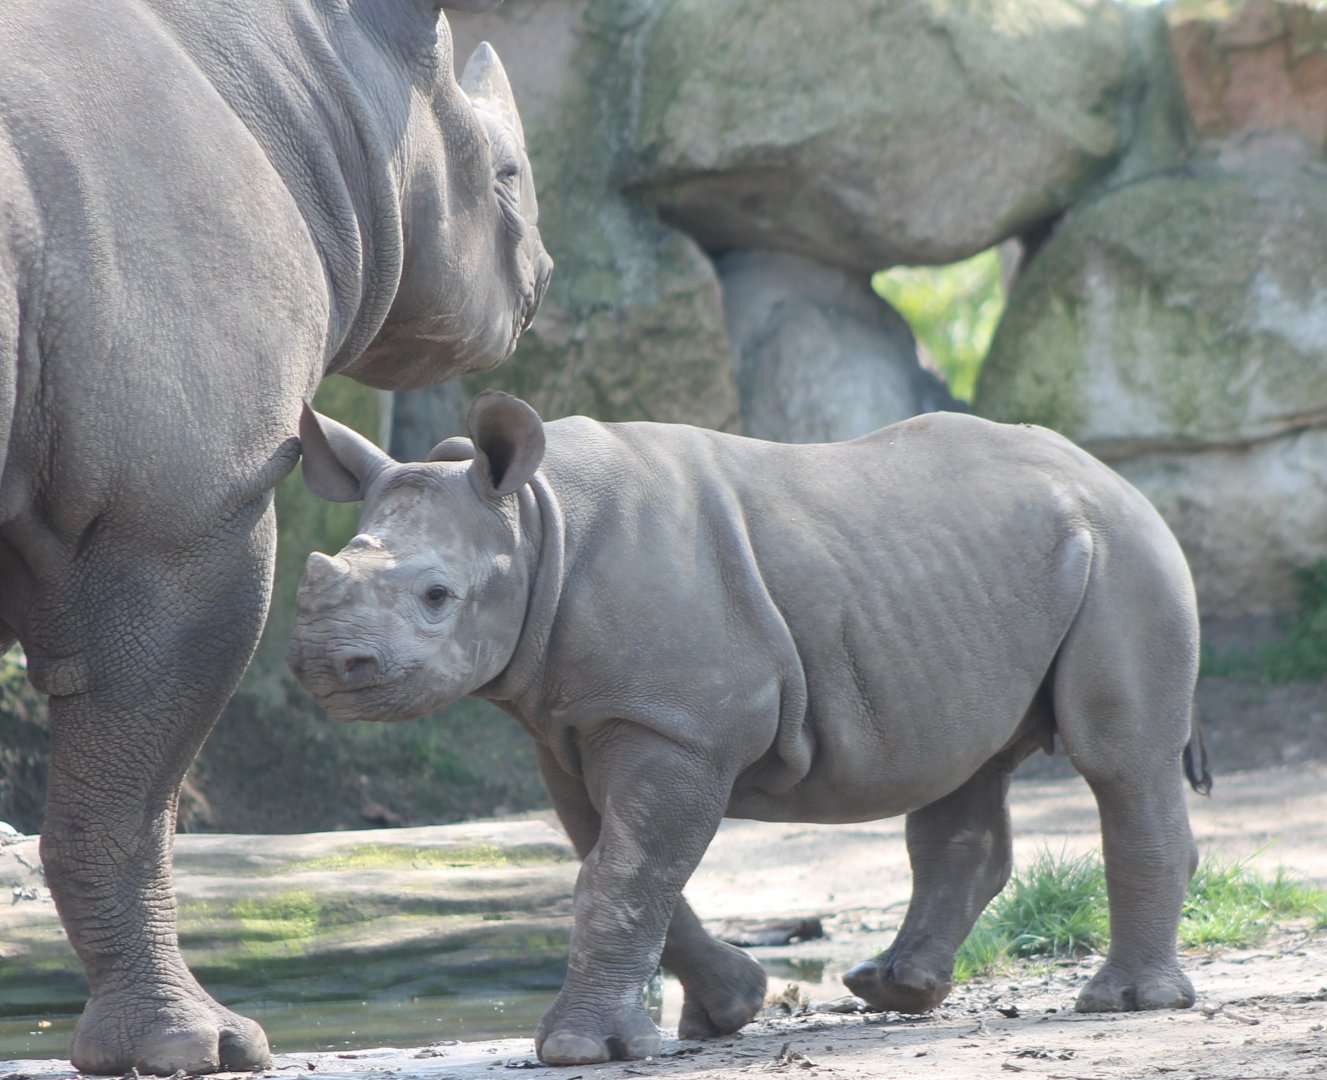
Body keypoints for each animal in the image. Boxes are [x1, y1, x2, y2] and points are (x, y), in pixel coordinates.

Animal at [0, 2, 550, 1074]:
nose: (543, 277)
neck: (327, 81)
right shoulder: (180, 514)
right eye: (504, 177)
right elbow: (131, 800)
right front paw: (196, 1049)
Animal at [288, 391, 1211, 1066]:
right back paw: (893, 989)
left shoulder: (676, 725)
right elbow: (615, 863)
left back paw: (1123, 1003)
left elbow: (623, 872)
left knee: (1119, 761)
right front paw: (727, 1011)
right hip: (991, 580)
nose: (327, 667)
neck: (537, 522)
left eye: (437, 597)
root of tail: (1115, 478)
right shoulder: (576, 721)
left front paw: (579, 1050)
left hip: (1125, 553)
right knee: (965, 766)